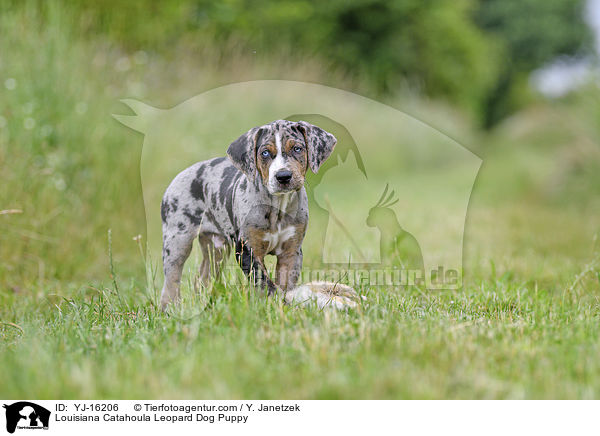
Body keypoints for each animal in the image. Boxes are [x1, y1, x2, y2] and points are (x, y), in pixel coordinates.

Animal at [159, 119, 338, 310]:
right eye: (265, 153)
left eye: (297, 148)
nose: (283, 176)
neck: (277, 207)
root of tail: (179, 176)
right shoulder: (247, 250)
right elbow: (265, 284)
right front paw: (274, 304)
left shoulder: (291, 252)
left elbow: (284, 284)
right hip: (177, 242)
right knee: (171, 281)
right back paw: (170, 309)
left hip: (216, 249)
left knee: (203, 278)